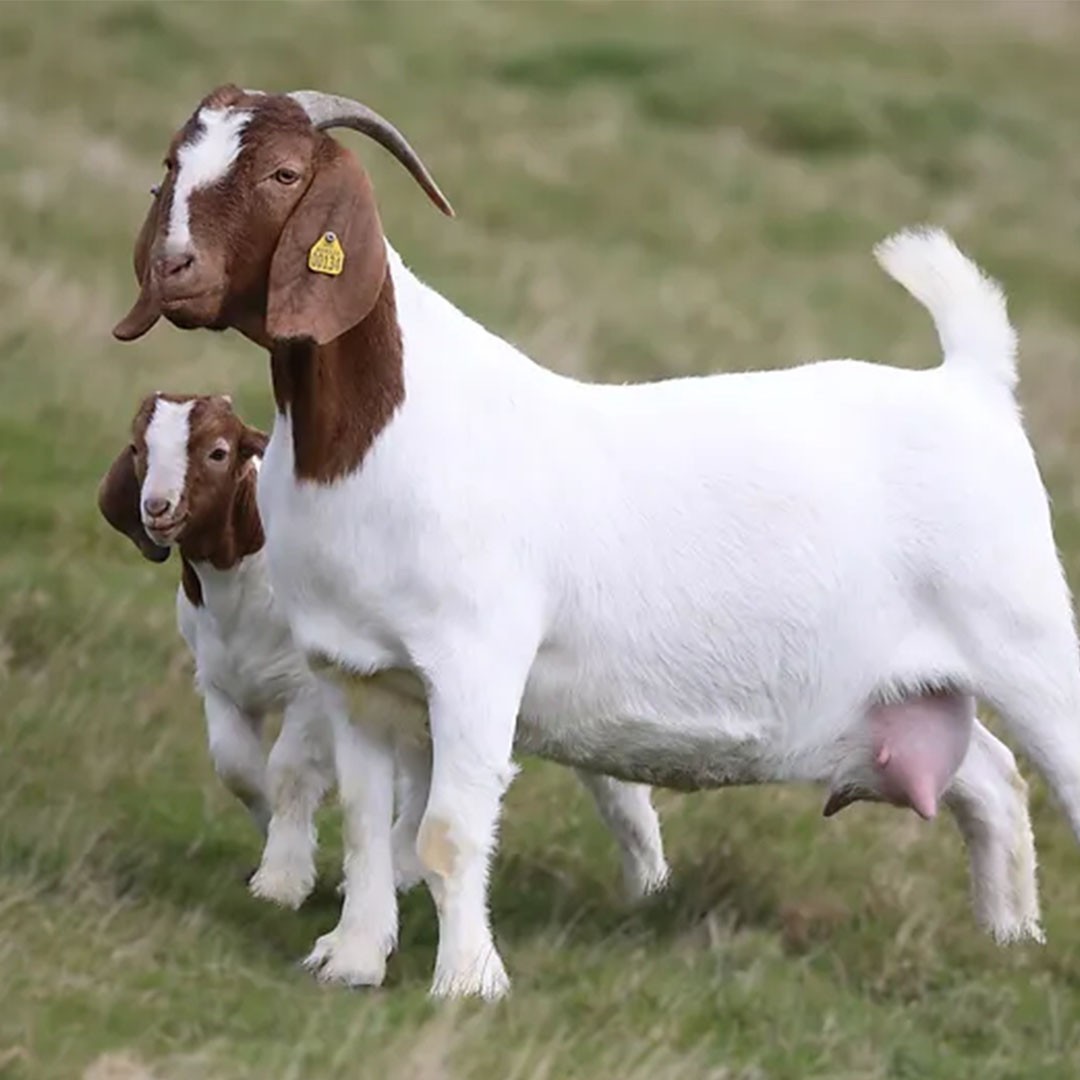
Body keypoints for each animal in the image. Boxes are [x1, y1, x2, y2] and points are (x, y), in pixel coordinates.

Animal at [113, 86, 1075, 1002]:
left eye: (283, 174)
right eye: (172, 162)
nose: (173, 268)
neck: (376, 436)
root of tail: (971, 383)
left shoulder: (475, 662)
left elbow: (448, 832)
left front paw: (466, 984)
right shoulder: (356, 678)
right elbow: (363, 825)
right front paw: (351, 961)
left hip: (1026, 643)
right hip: (912, 688)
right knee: (991, 778)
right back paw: (1009, 939)